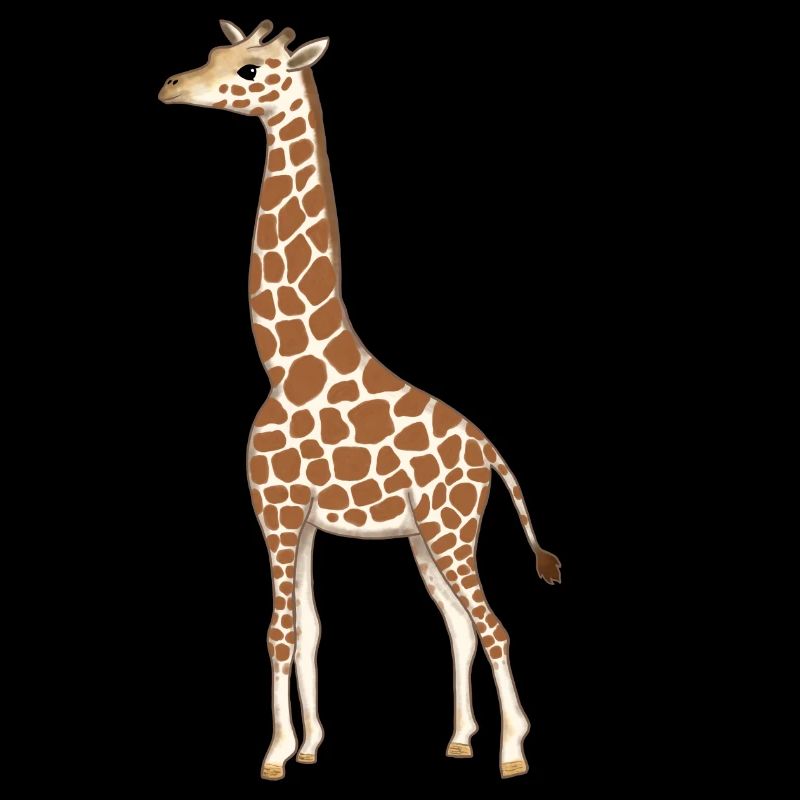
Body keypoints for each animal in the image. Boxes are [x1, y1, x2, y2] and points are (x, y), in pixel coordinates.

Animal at [159, 19, 561, 781]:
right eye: (215, 54)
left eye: (251, 70)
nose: (170, 85)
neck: (286, 361)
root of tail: (489, 451)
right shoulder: (304, 518)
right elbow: (310, 629)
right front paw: (311, 746)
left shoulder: (276, 505)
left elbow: (279, 629)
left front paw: (275, 755)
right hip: (425, 536)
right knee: (460, 625)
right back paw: (460, 739)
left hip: (450, 524)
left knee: (493, 624)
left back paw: (513, 753)